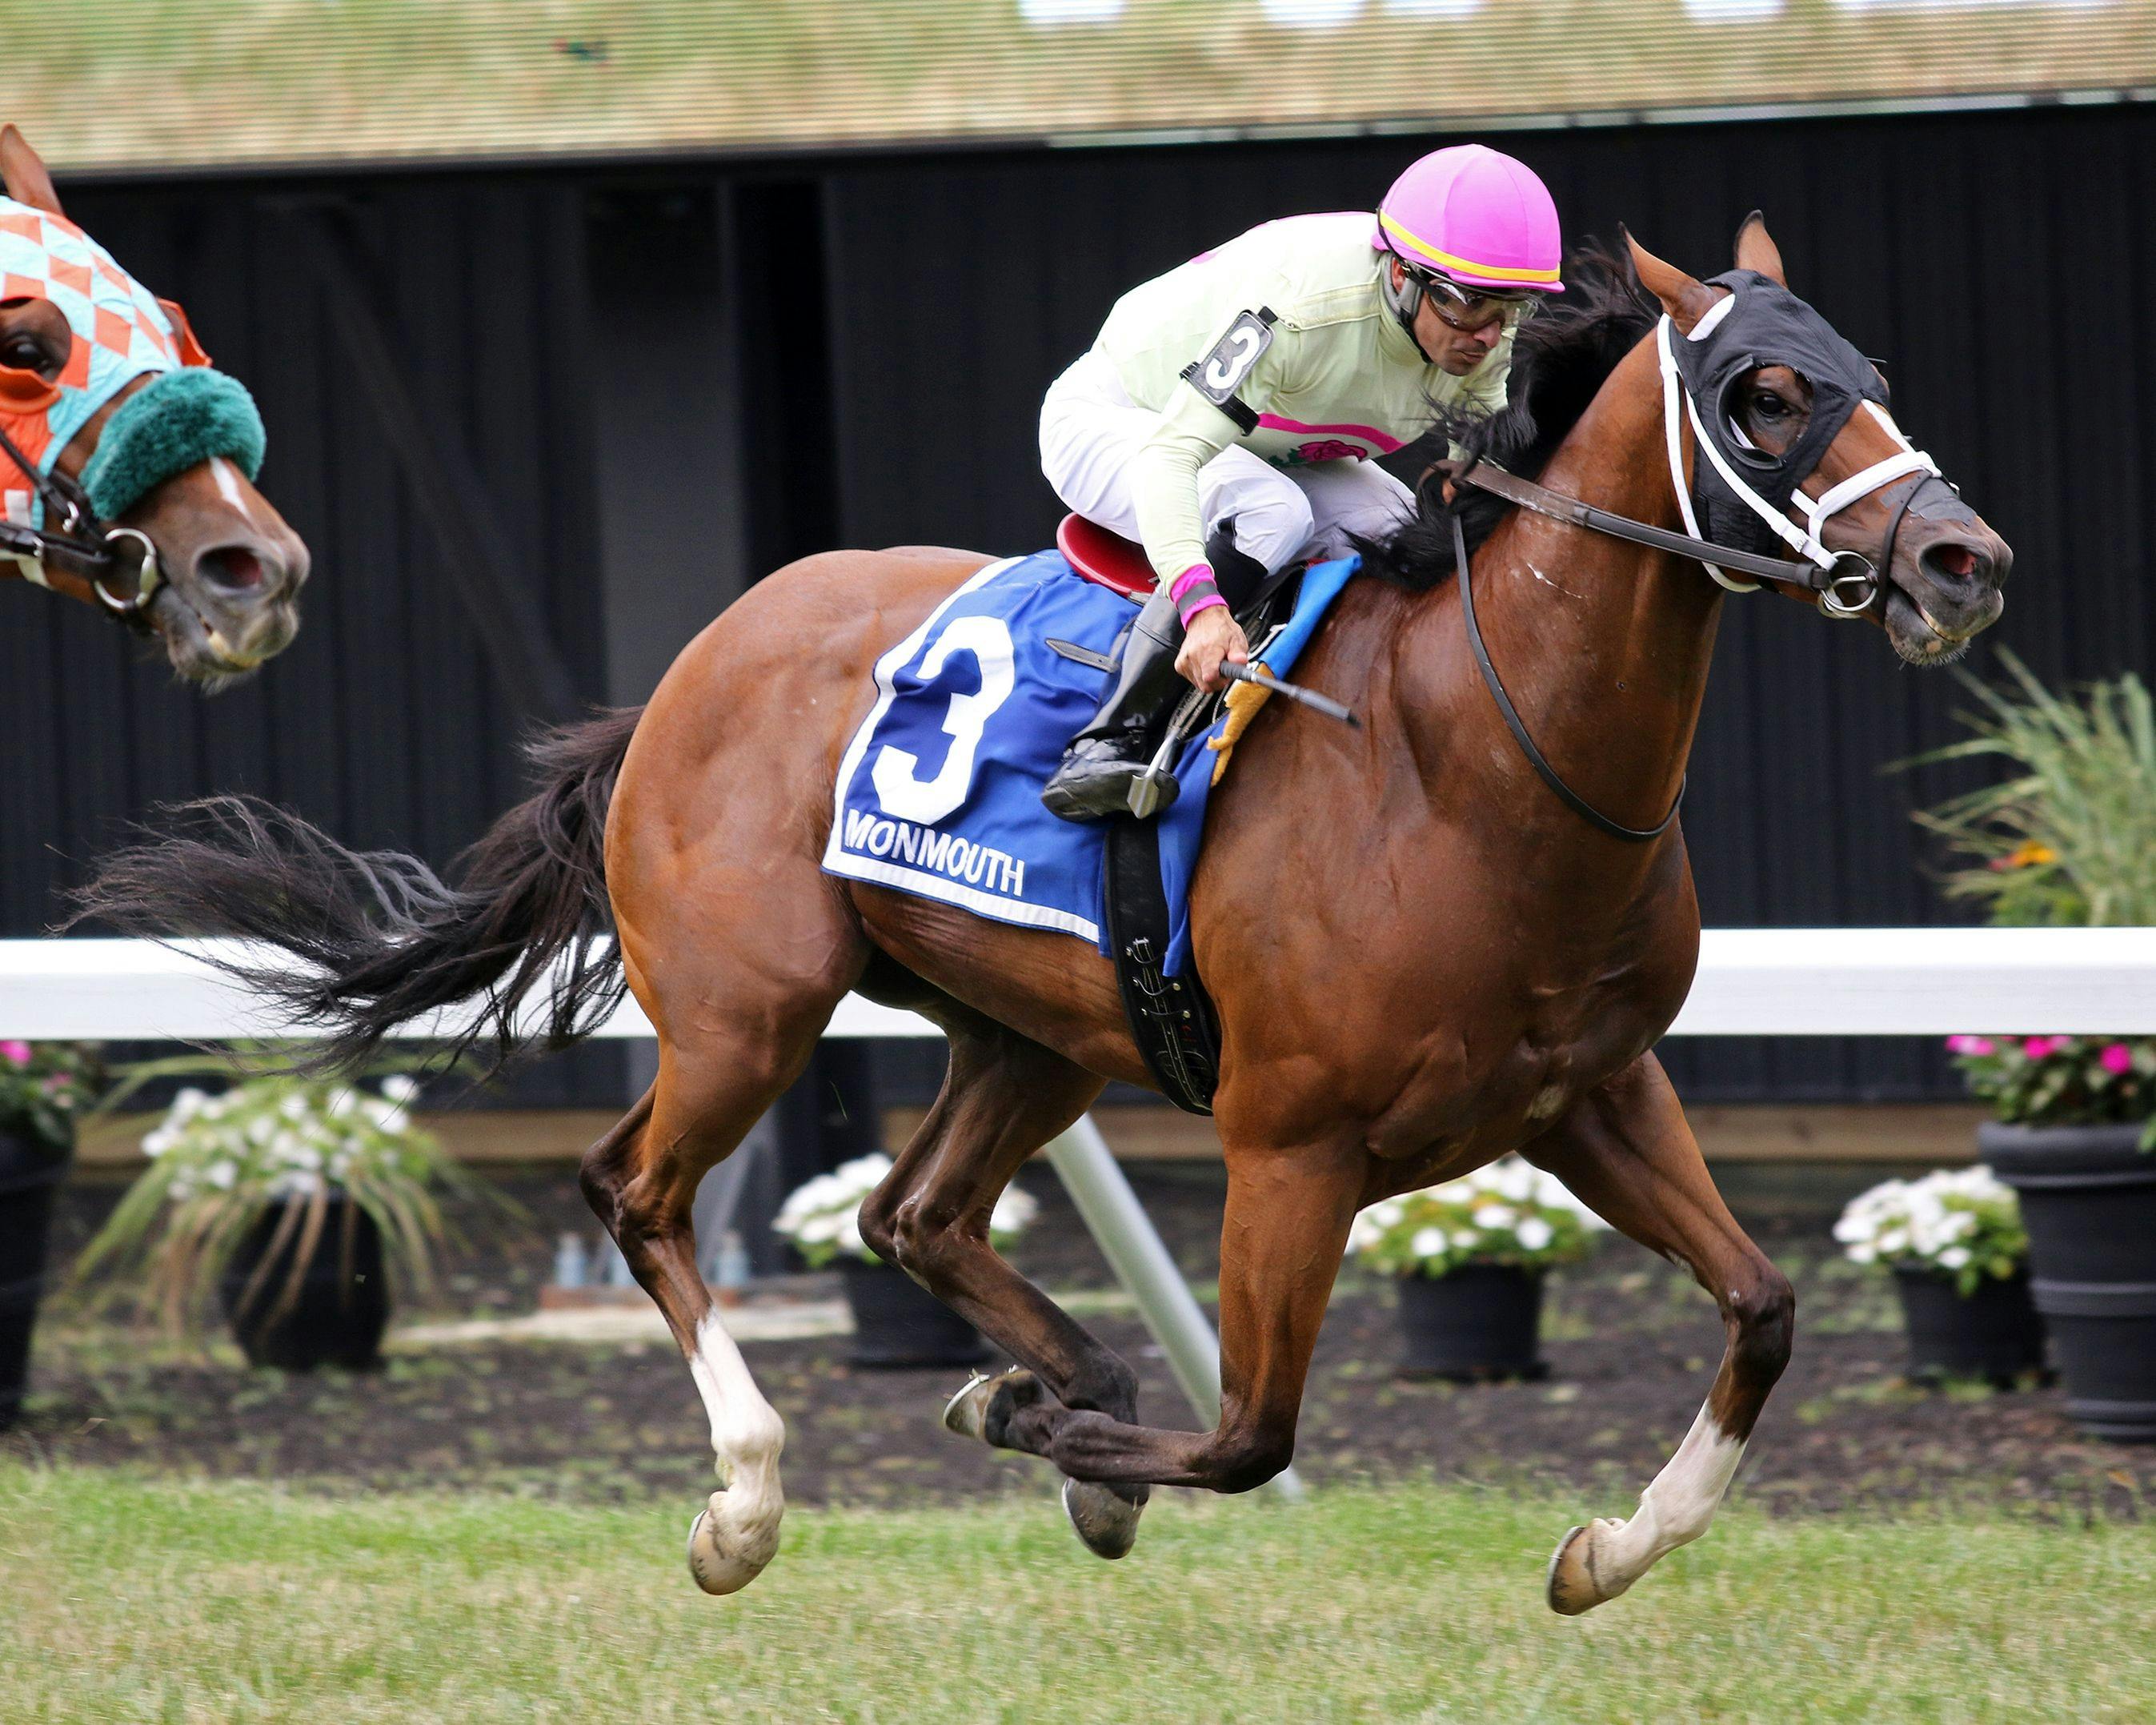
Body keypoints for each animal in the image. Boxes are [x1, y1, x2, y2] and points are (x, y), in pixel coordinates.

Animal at [79, 222, 2001, 1612]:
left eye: (1872, 375)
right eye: (1763, 393)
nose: (1960, 561)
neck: (1474, 757)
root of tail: (693, 663)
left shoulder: (1586, 1091)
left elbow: (1762, 1307)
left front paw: (1607, 1550)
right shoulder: (1289, 1144)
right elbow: (1244, 1436)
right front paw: (1054, 1437)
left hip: (1037, 1034)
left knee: (912, 1216)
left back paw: (1047, 1374)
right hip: (747, 1010)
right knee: (637, 1191)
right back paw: (751, 1498)